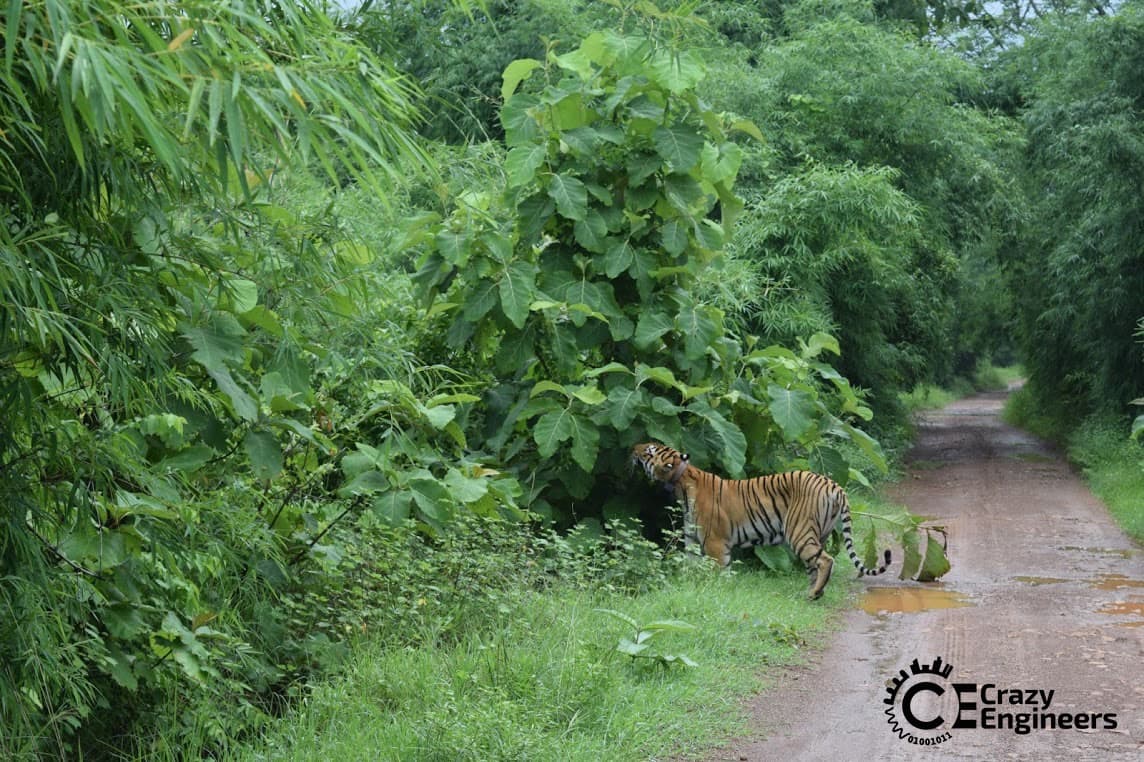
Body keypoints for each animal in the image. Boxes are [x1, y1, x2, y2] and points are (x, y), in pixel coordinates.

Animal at [631, 439, 887, 599]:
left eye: (649, 450)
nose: (633, 448)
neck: (681, 483)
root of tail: (835, 485)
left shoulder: (715, 543)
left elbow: (718, 571)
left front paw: (715, 589)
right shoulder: (692, 540)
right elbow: (691, 567)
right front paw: (690, 587)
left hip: (799, 531)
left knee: (826, 561)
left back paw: (814, 594)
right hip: (819, 534)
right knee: (815, 564)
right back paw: (813, 592)